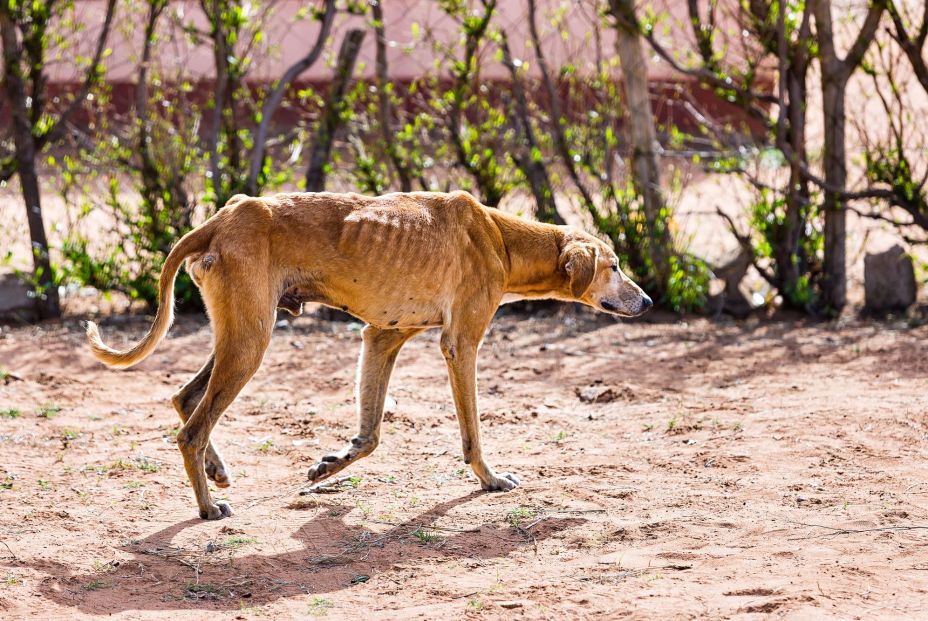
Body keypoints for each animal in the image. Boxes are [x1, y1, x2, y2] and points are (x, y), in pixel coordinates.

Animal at [87, 190, 652, 520]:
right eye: (615, 266)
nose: (647, 302)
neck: (499, 237)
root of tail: (223, 217)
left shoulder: (382, 338)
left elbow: (372, 434)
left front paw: (331, 464)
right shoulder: (460, 344)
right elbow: (471, 434)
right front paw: (490, 480)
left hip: (241, 336)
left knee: (185, 399)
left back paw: (216, 470)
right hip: (250, 342)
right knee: (191, 430)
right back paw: (208, 506)